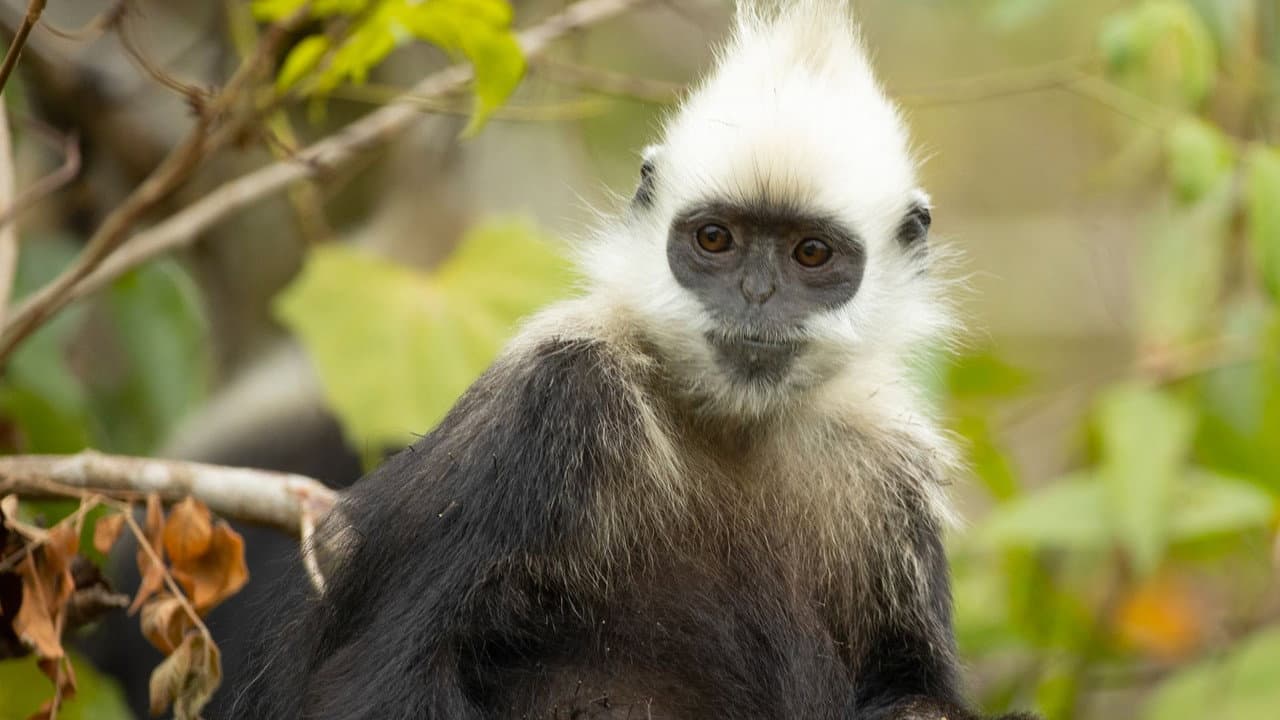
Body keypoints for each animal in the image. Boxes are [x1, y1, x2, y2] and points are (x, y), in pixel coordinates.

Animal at [231, 2, 1038, 719]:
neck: (734, 428)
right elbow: (379, 678)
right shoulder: (555, 399)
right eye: (715, 240)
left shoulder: (890, 475)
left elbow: (913, 689)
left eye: (811, 253)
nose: (756, 295)